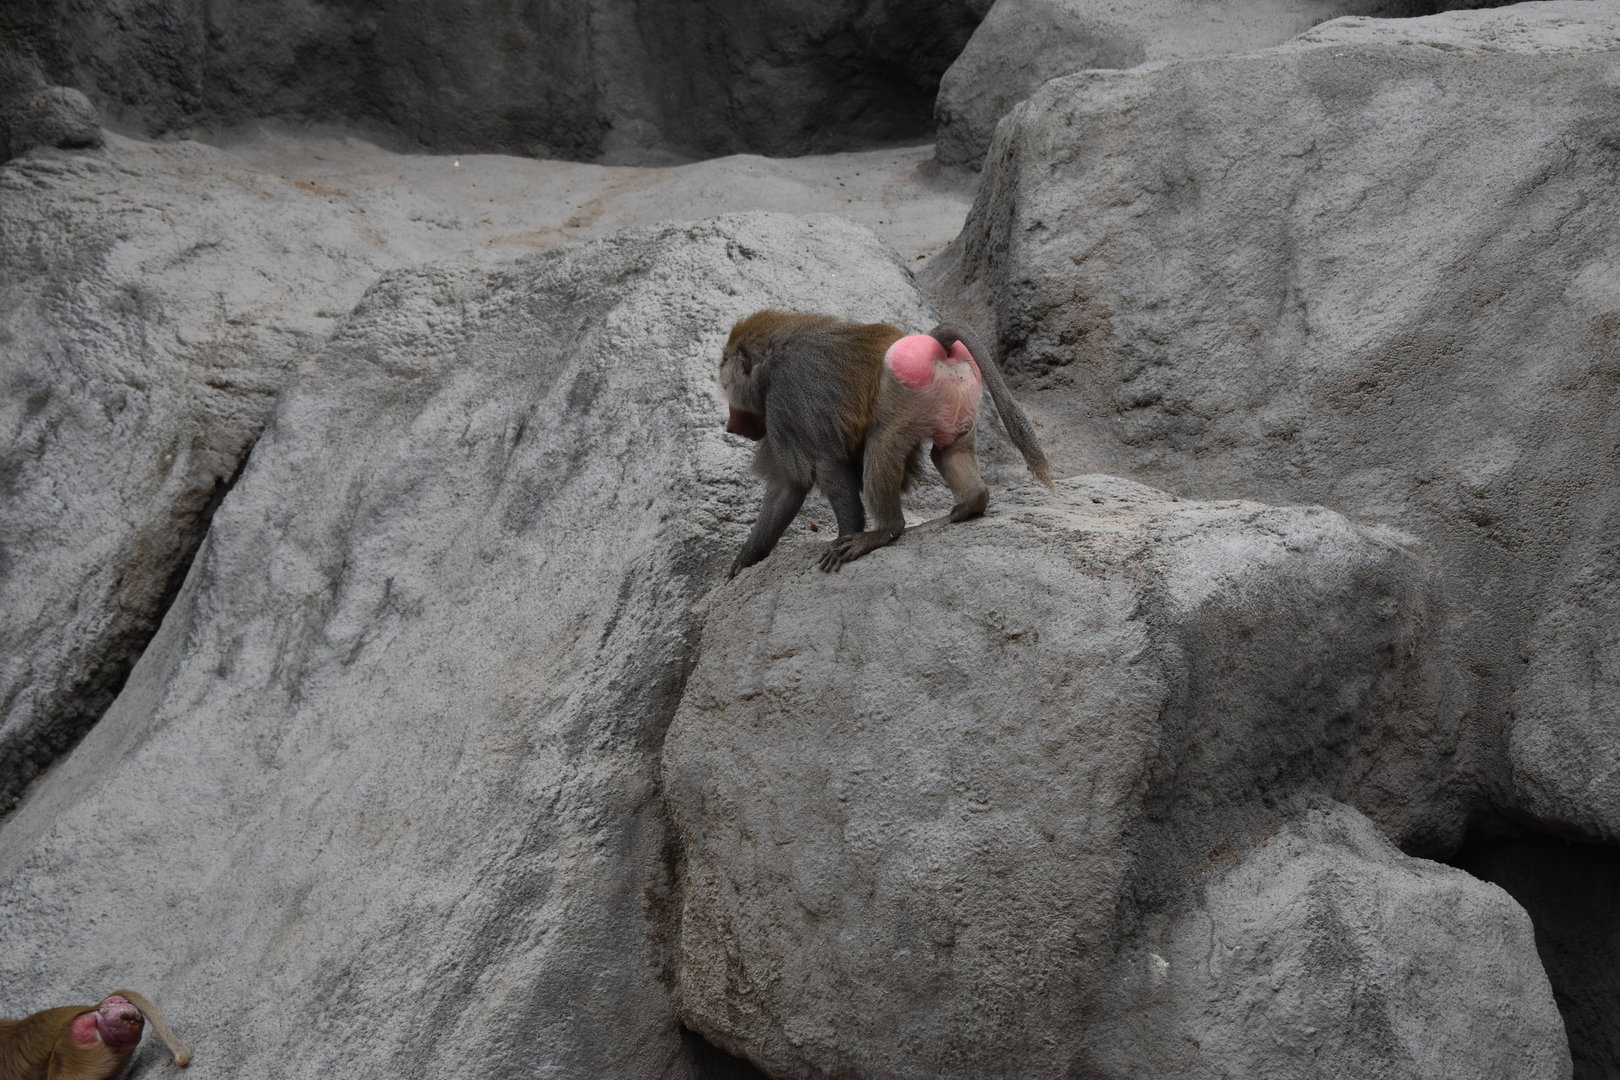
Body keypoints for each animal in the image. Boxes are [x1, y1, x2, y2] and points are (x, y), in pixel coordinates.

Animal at [719, 310, 1052, 576]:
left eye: (727, 387)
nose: (730, 426)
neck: (773, 356)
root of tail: (936, 343)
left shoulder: (786, 399)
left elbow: (818, 471)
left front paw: (844, 537)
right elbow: (786, 488)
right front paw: (745, 560)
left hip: (903, 394)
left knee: (883, 444)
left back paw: (882, 533)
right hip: (959, 395)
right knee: (948, 451)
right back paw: (971, 503)